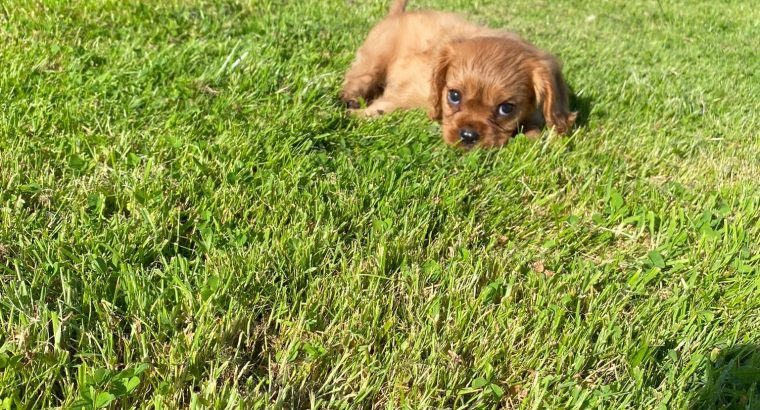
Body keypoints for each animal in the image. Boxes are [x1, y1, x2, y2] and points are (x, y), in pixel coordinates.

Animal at [340, 0, 576, 147]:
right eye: (454, 96)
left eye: (506, 109)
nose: (468, 136)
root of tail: (399, 14)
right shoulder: (407, 93)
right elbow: (385, 107)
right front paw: (355, 116)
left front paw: (534, 136)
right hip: (374, 57)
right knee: (359, 78)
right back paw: (349, 100)